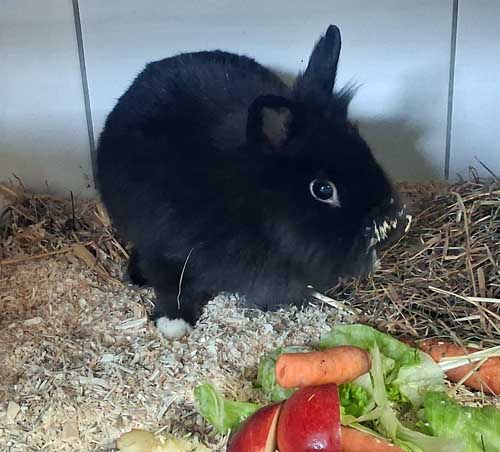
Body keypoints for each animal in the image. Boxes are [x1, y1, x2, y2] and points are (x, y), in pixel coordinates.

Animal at [96, 24, 409, 339]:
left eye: (366, 150)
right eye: (323, 189)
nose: (392, 224)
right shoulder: (167, 252)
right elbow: (175, 288)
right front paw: (173, 323)